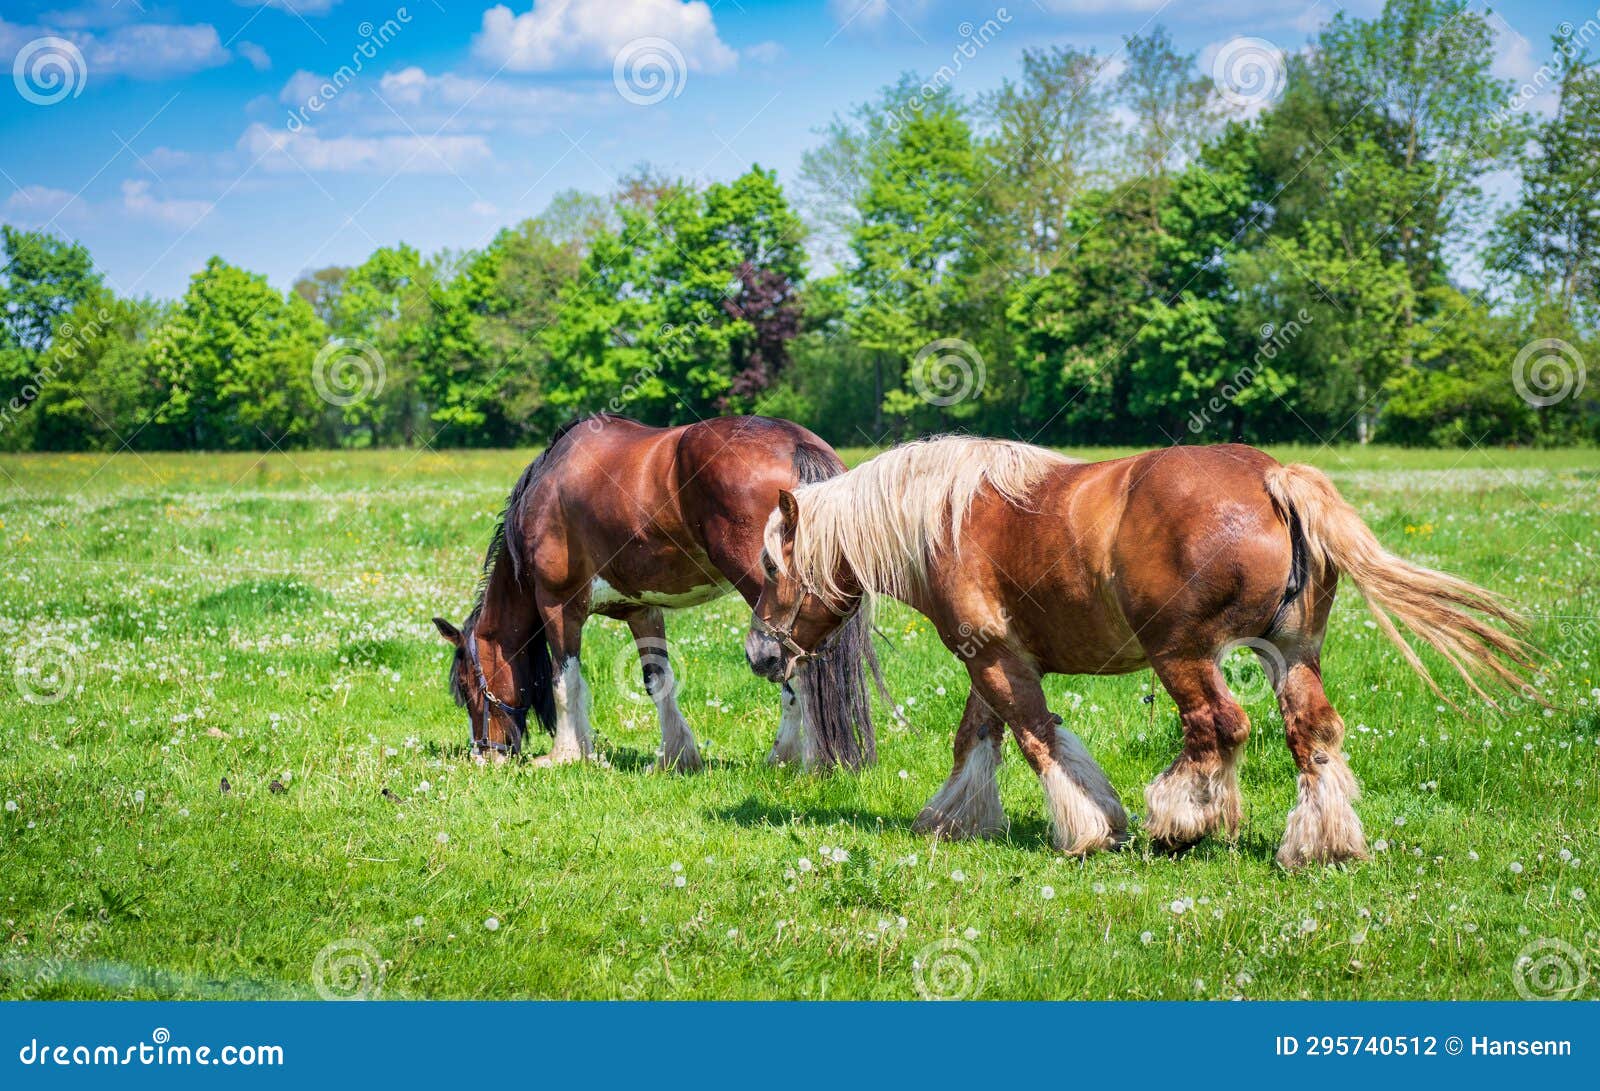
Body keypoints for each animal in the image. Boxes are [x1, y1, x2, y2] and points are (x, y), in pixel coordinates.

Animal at [433, 413, 878, 772]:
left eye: (468, 688)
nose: (484, 753)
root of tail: (795, 444)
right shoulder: (642, 611)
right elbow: (658, 680)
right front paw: (676, 757)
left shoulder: (558, 605)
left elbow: (566, 679)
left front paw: (566, 755)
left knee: (795, 671)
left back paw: (788, 759)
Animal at [745, 436, 1531, 867]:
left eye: (773, 565)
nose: (758, 653)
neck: (945, 518)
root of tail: (1273, 478)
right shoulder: (995, 658)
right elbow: (977, 736)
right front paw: (953, 818)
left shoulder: (994, 657)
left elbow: (1036, 738)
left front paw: (1091, 828)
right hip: (1292, 652)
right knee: (1313, 732)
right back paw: (1321, 843)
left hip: (1183, 655)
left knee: (1218, 728)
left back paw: (1180, 824)